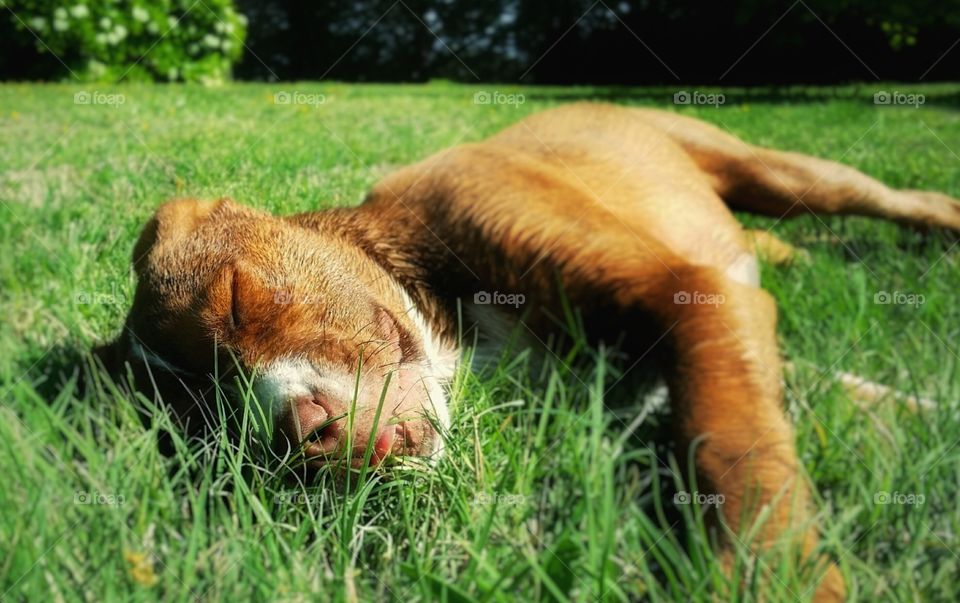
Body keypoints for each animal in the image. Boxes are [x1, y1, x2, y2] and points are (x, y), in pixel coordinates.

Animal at [95, 102, 960, 600]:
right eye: (203, 419)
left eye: (236, 300)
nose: (307, 434)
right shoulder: (711, 337)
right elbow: (796, 408)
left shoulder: (693, 292)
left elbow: (736, 453)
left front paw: (771, 579)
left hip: (784, 173)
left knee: (908, 201)